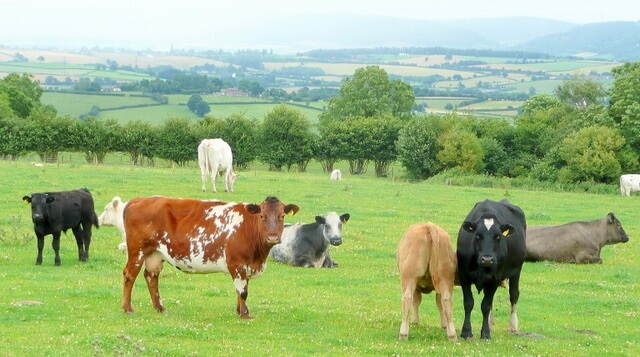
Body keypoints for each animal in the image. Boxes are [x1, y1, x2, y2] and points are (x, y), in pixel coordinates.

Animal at [121, 196, 298, 318]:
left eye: (282, 216)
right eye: (262, 216)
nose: (272, 237)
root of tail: (139, 200)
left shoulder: (246, 266)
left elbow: (242, 290)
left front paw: (240, 310)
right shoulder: (237, 264)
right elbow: (242, 291)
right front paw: (245, 314)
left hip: (155, 254)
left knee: (151, 276)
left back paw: (159, 307)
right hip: (137, 251)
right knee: (130, 275)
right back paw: (127, 308)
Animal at [458, 197, 528, 340]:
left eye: (498, 236)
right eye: (477, 235)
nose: (487, 259)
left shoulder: (495, 278)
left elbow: (486, 305)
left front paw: (485, 333)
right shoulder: (463, 276)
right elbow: (468, 303)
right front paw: (466, 332)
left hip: (517, 270)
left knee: (514, 295)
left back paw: (513, 326)